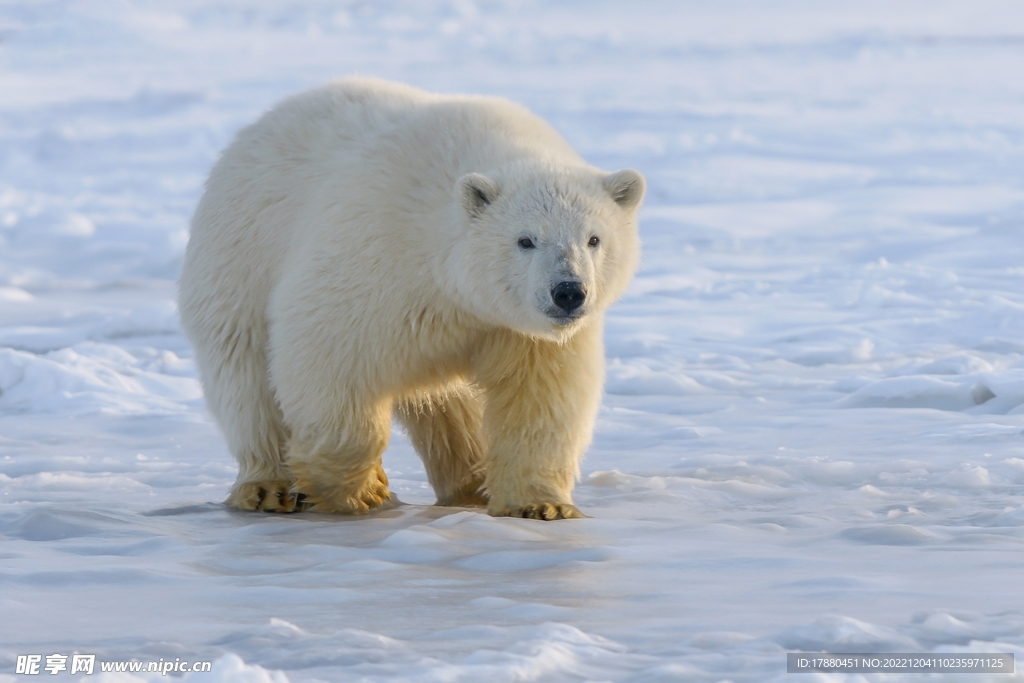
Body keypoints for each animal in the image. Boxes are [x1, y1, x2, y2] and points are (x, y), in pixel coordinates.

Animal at [176, 77, 638, 520]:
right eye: (525, 240)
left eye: (594, 239)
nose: (568, 292)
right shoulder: (376, 256)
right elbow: (327, 352)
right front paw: (359, 490)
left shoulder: (517, 330)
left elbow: (539, 398)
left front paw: (541, 505)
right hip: (240, 259)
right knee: (247, 379)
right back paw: (267, 487)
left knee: (450, 407)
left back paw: (470, 483)